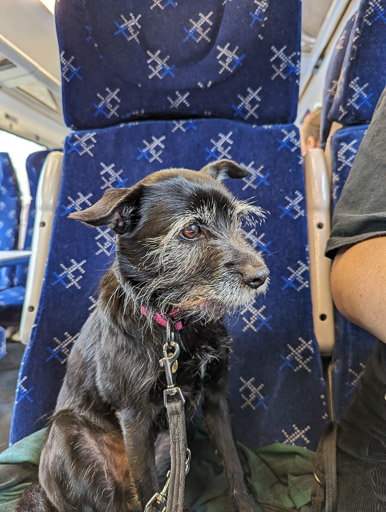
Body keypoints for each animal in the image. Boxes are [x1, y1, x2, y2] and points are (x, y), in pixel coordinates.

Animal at [17, 160, 268, 512]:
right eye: (191, 230)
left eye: (237, 220)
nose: (261, 276)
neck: (175, 324)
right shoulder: (134, 416)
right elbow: (146, 483)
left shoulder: (216, 396)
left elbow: (232, 461)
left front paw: (248, 504)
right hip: (68, 433)